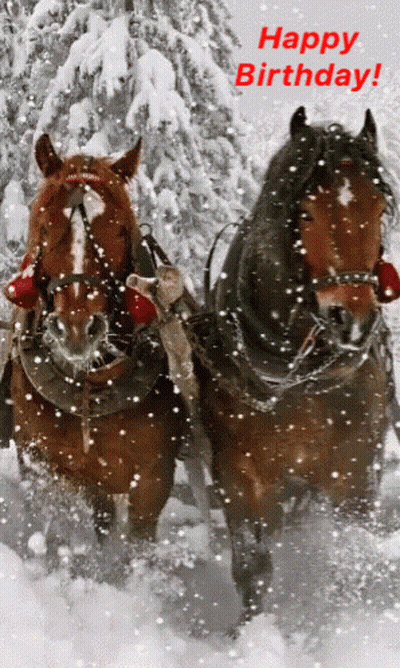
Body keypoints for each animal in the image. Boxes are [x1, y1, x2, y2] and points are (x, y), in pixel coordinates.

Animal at [4, 134, 189, 550]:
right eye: (44, 225)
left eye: (120, 230)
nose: (77, 327)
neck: (91, 385)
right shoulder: (38, 463)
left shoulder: (152, 481)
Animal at [191, 107, 400, 625]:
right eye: (305, 213)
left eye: (378, 209)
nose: (353, 318)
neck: (297, 378)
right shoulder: (241, 478)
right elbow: (253, 567)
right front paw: (251, 631)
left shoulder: (356, 475)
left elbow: (347, 556)